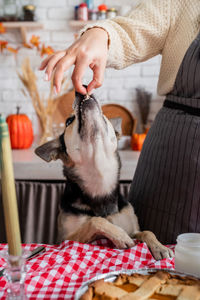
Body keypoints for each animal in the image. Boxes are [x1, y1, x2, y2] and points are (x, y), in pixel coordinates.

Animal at [35, 89, 174, 260]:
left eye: (104, 116)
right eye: (68, 121)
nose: (81, 90)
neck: (100, 176)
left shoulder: (134, 229)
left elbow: (147, 232)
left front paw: (159, 247)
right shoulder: (65, 240)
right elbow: (96, 221)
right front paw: (121, 236)